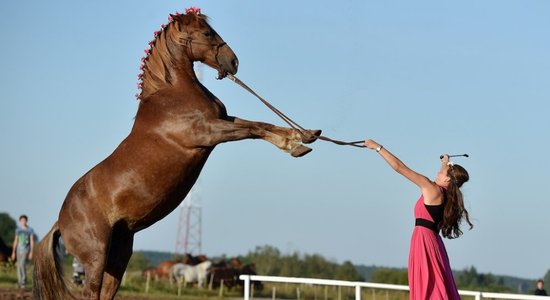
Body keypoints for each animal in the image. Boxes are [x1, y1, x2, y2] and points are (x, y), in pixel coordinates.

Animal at [32, 7, 322, 300]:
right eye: (207, 33)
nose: (234, 62)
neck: (173, 94)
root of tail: (60, 222)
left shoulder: (222, 120)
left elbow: (259, 124)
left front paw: (304, 136)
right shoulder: (208, 131)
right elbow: (253, 128)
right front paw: (295, 143)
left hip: (119, 255)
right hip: (95, 259)